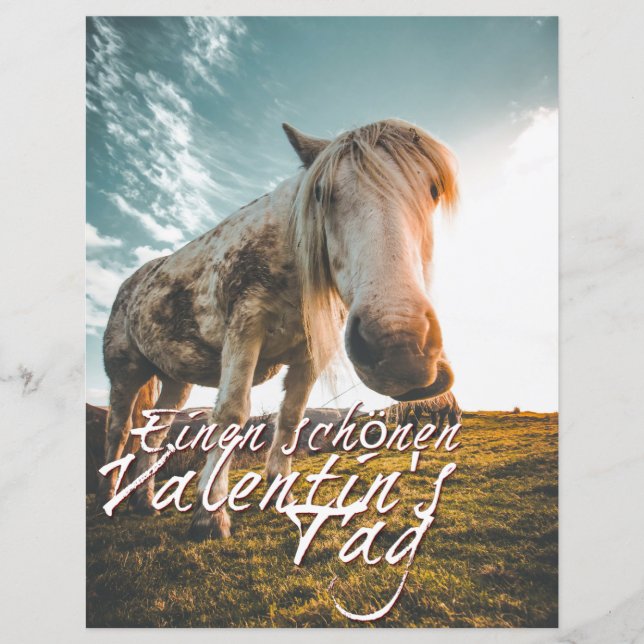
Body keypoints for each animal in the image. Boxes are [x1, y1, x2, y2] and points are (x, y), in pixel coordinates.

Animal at [97, 118, 459, 540]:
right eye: (321, 194)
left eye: (432, 190)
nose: (400, 352)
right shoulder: (245, 329)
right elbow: (231, 414)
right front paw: (210, 516)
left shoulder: (311, 355)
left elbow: (289, 421)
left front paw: (280, 494)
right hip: (125, 372)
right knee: (119, 430)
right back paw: (108, 498)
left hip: (175, 382)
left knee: (155, 432)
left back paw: (144, 501)